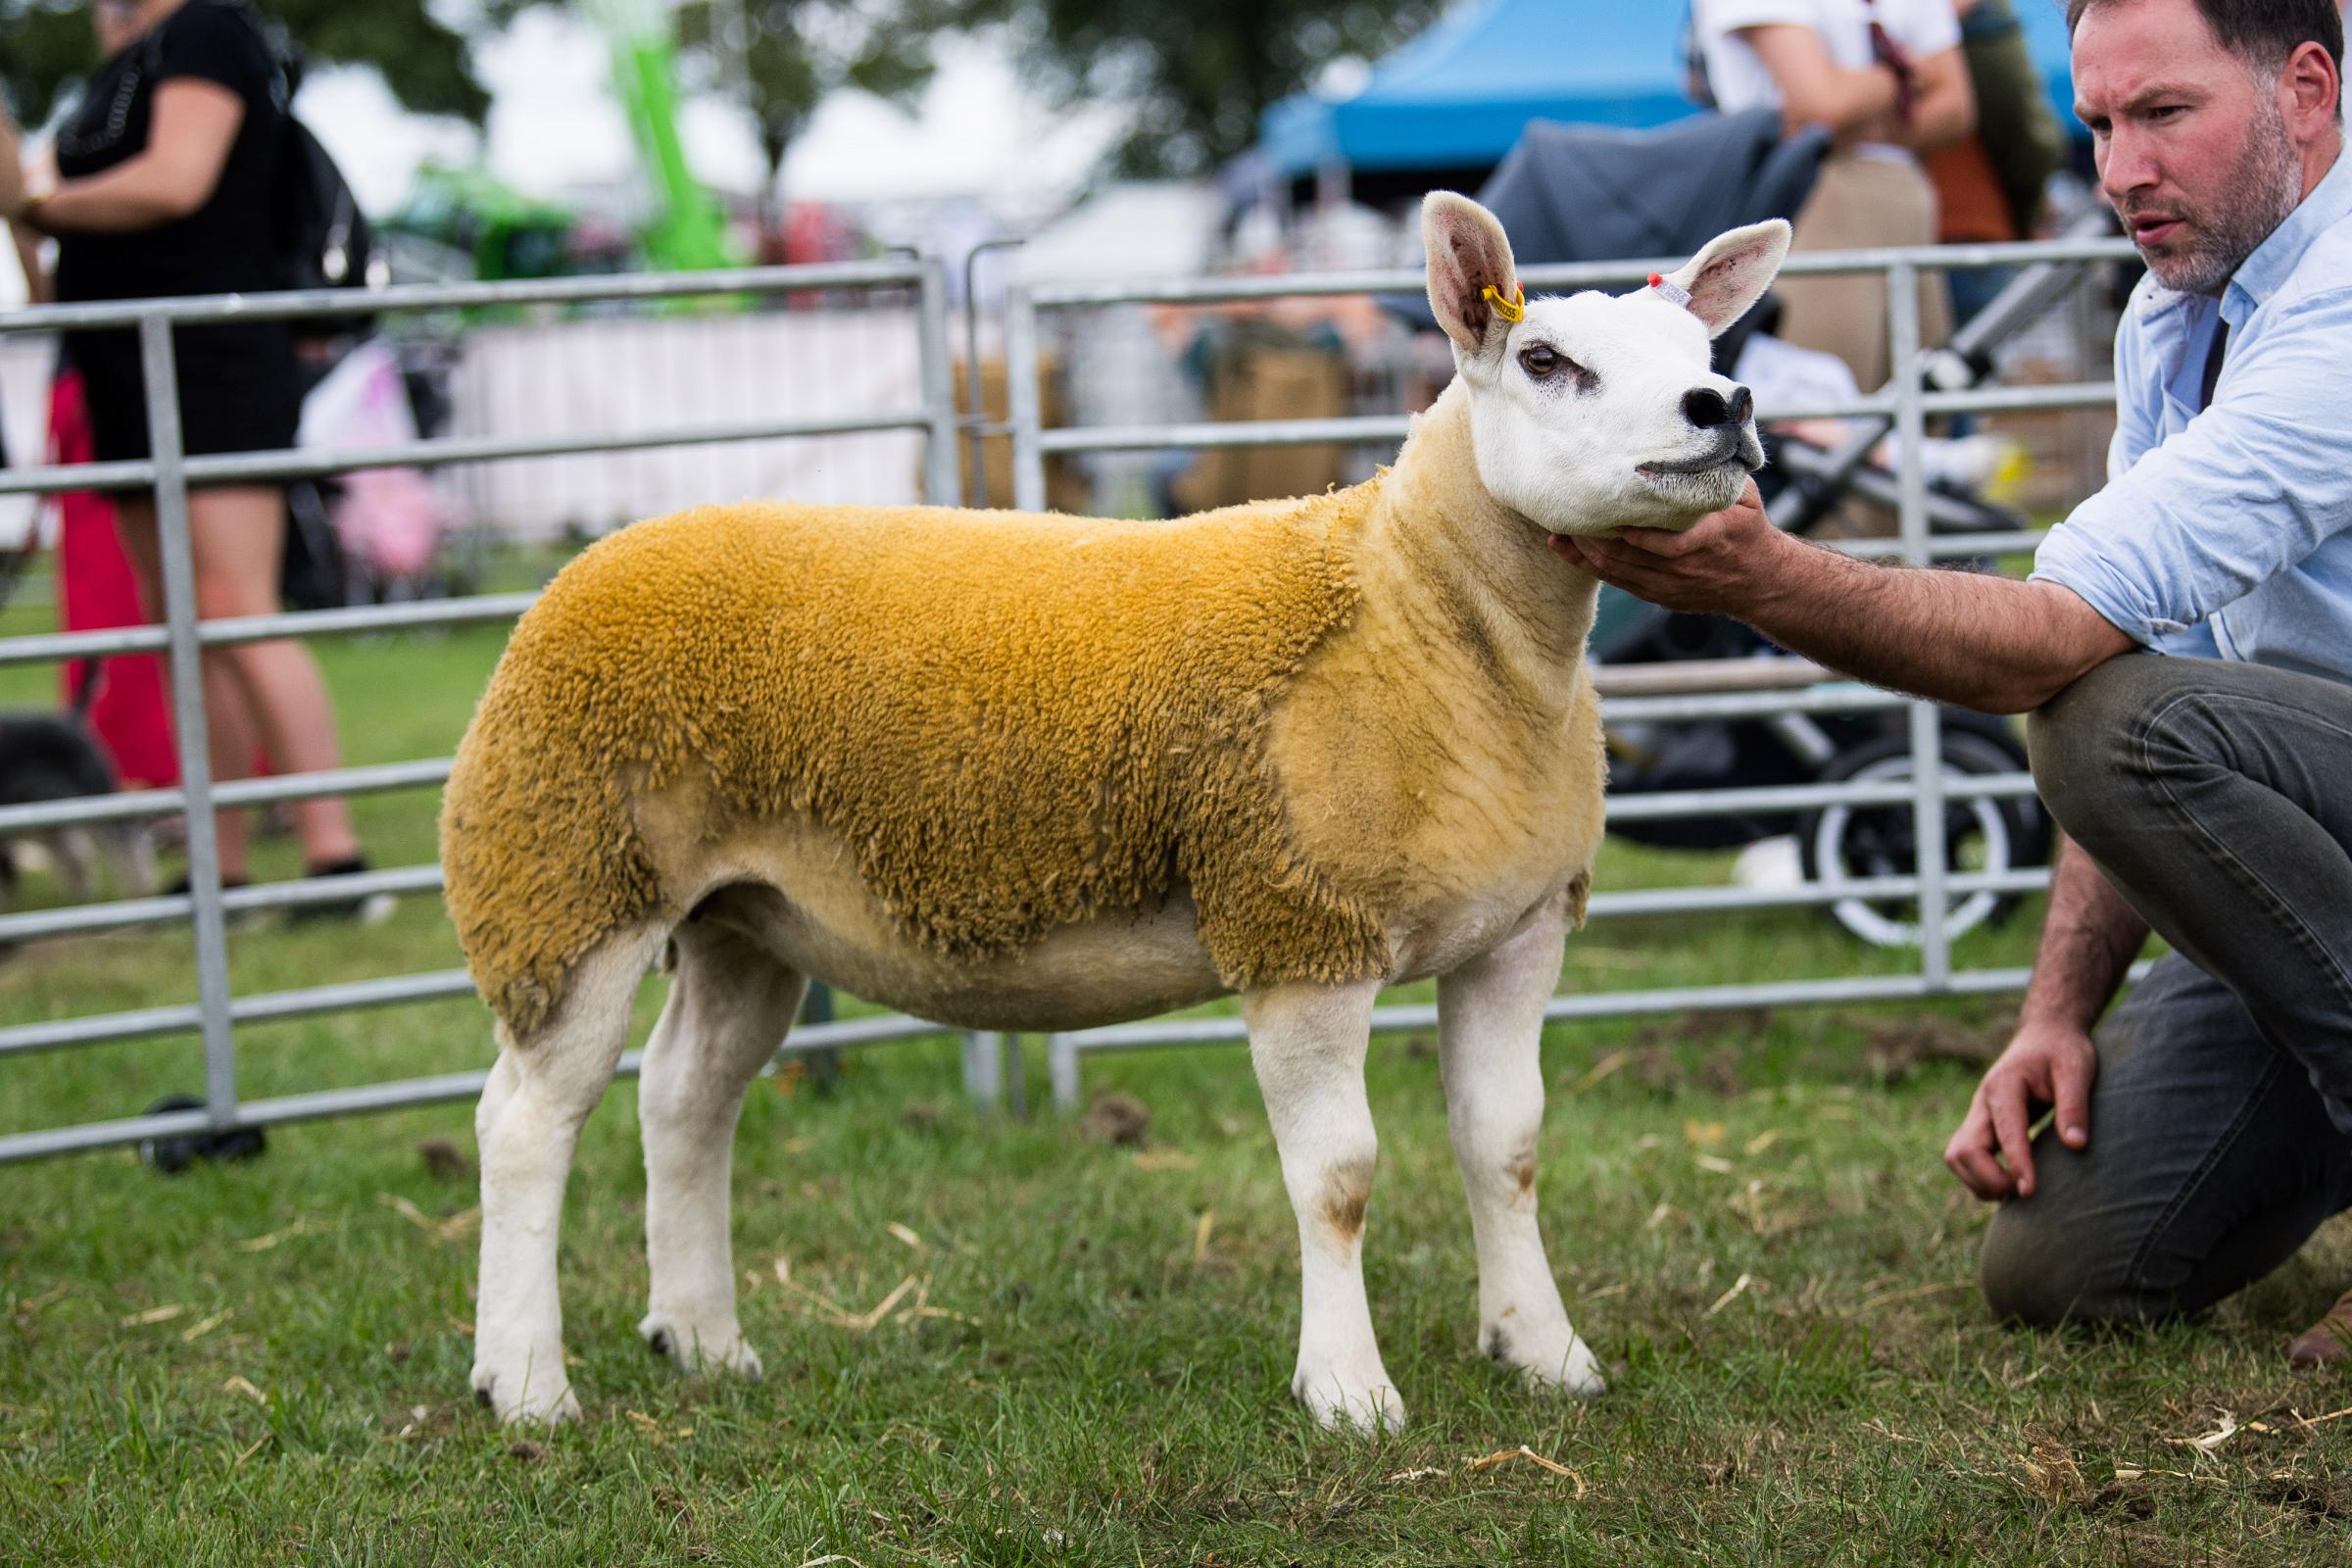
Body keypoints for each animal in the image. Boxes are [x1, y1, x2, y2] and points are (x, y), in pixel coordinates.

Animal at [1, 662, 155, 906]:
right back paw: (80, 895)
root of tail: (73, 718)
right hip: (45, 814)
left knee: (130, 842)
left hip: (97, 796)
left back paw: (139, 889)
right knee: (75, 854)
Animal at [444, 192, 1778, 1439]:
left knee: (684, 1101)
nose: (1723, 403)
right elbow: (1338, 1178)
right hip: (564, 879)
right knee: (525, 1123)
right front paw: (1350, 1391)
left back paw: (704, 1339)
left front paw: (1545, 1353)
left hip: (742, 918)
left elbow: (1506, 1149)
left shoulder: (1520, 930)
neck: (1417, 614)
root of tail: (585, 571)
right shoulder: (1297, 925)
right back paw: (527, 1385)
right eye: (1545, 359)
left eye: (1702, 341)